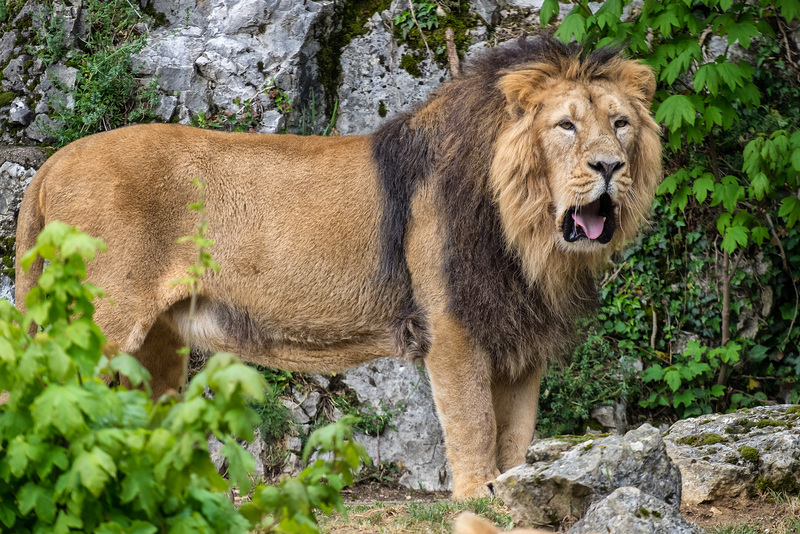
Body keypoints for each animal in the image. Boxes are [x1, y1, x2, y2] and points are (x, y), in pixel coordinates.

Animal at [14, 36, 664, 498]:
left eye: (620, 124)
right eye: (566, 125)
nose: (610, 166)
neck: (525, 235)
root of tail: (51, 164)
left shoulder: (520, 338)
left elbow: (518, 442)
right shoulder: (453, 330)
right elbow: (475, 437)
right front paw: (479, 500)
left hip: (156, 344)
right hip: (98, 323)